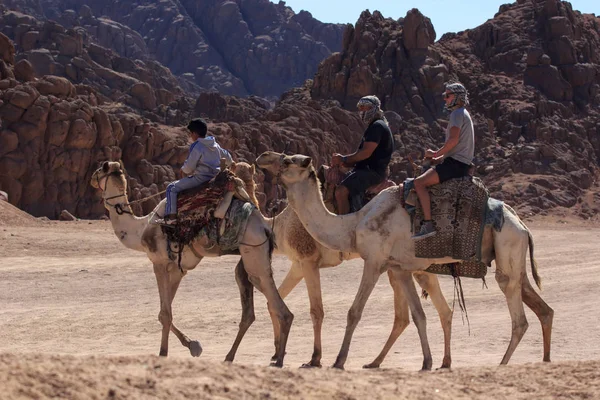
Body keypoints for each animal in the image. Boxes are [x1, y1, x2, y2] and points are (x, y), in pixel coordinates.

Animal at [90, 161, 294, 368]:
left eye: (99, 170)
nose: (91, 179)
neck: (140, 228)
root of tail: (265, 227)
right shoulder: (178, 269)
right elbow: (164, 311)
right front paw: (193, 345)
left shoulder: (159, 263)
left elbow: (165, 313)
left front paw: (164, 353)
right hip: (252, 257)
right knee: (253, 308)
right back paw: (235, 356)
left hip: (254, 254)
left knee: (277, 305)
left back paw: (278, 360)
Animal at [232, 161, 452, 370]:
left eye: (249, 181)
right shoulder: (297, 265)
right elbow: (272, 303)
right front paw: (278, 352)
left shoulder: (307, 260)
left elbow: (316, 310)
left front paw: (314, 358)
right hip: (412, 265)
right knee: (431, 311)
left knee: (407, 315)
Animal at [255, 152, 556, 370]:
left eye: (286, 160)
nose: (262, 157)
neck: (351, 224)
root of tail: (523, 225)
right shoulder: (399, 268)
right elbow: (418, 315)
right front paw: (427, 362)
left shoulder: (373, 261)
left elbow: (354, 312)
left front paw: (336, 361)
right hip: (512, 259)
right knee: (541, 307)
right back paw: (544, 361)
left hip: (508, 246)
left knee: (519, 318)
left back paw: (502, 365)